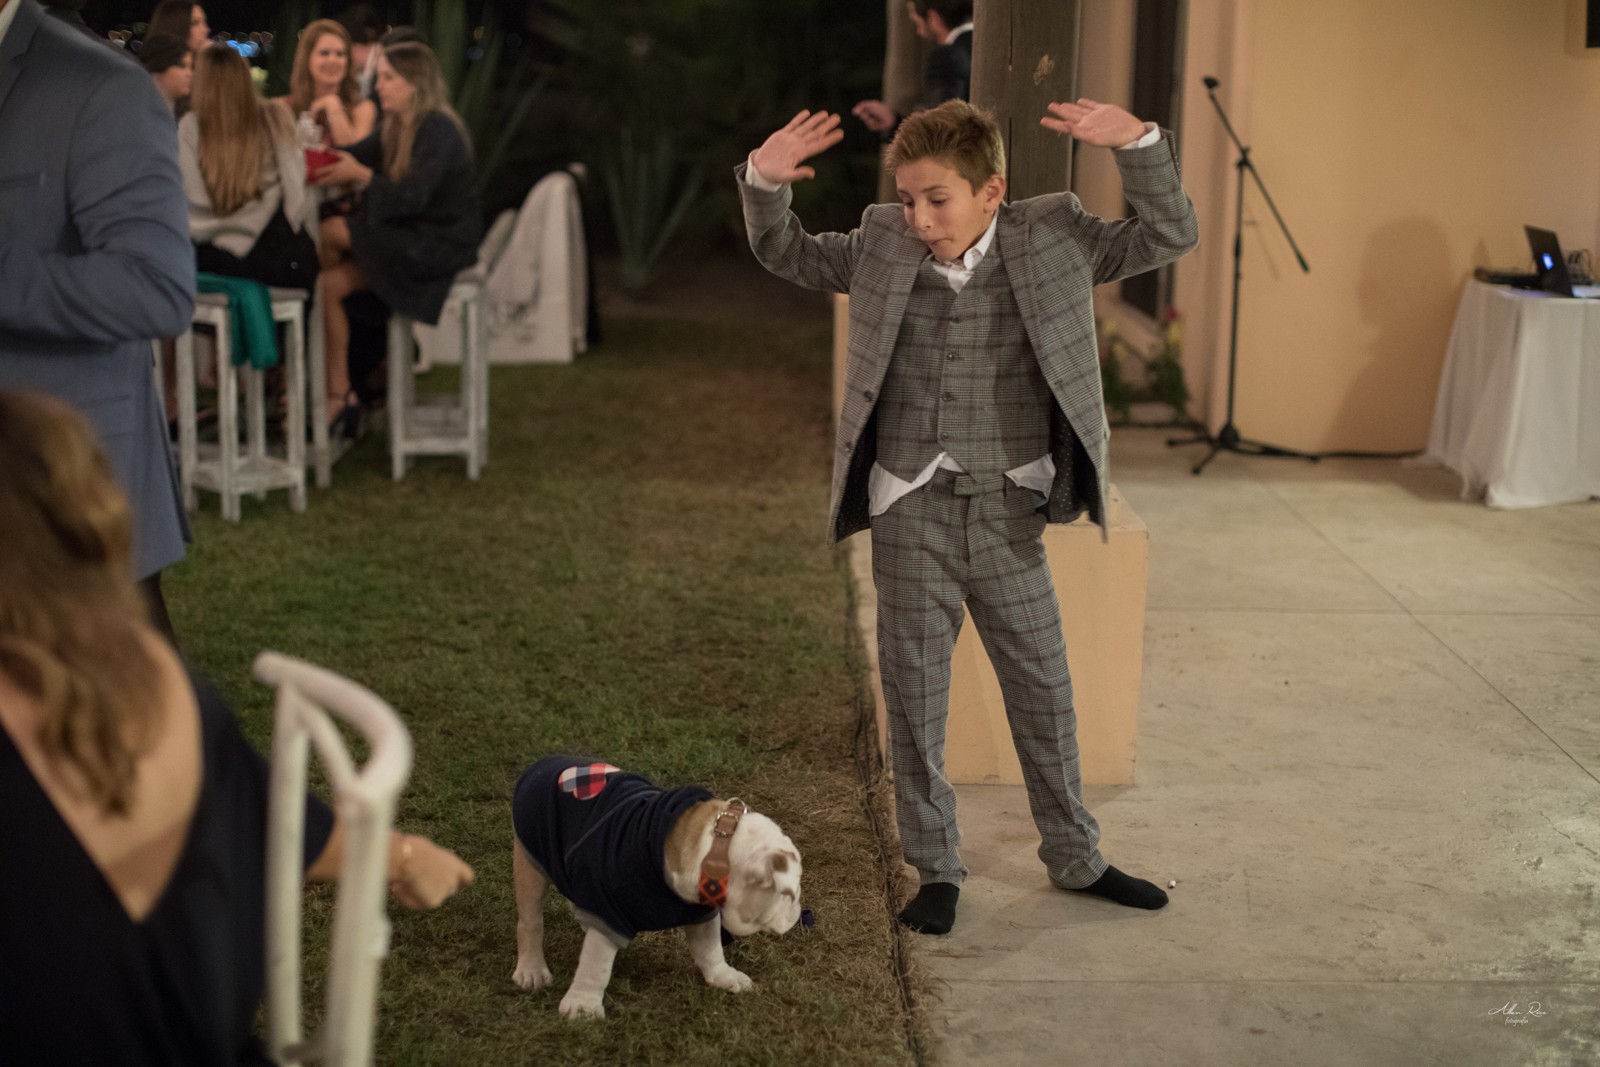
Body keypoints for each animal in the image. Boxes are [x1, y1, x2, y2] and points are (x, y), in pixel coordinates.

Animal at [510, 756, 803, 1020]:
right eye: (791, 895)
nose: (799, 910)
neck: (717, 848)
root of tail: (545, 762)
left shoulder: (700, 911)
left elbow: (710, 949)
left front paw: (723, 976)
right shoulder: (608, 910)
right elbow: (596, 966)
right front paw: (583, 1006)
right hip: (531, 863)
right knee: (530, 922)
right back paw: (532, 970)